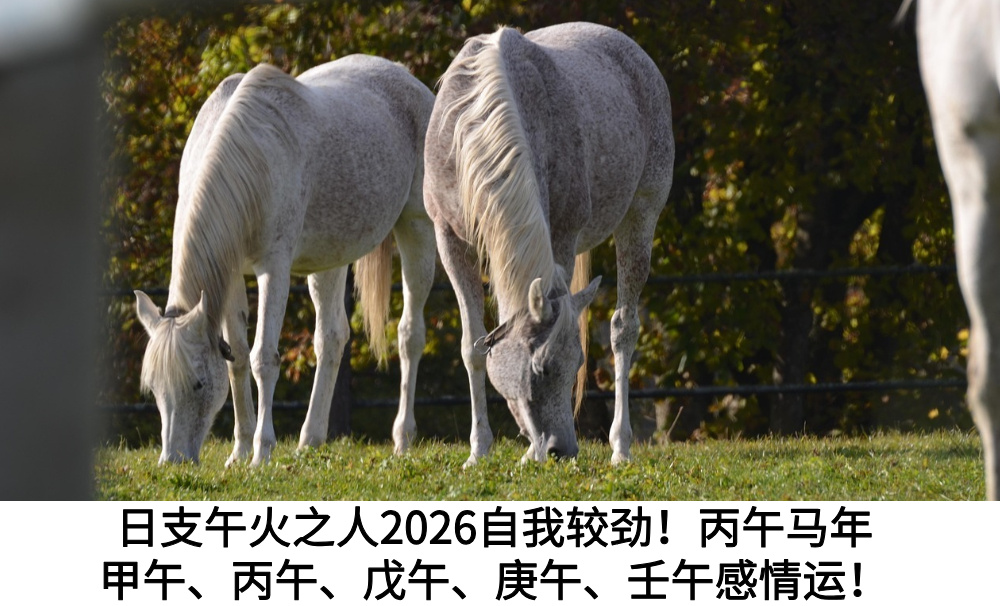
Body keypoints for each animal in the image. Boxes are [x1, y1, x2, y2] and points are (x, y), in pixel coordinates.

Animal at [134, 55, 437, 465]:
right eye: (154, 388)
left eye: (197, 384)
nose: (173, 461)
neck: (250, 160)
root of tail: (408, 80)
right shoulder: (231, 276)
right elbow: (238, 360)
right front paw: (240, 450)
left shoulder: (273, 270)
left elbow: (263, 357)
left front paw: (261, 452)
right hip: (330, 259)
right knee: (332, 337)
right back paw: (310, 439)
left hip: (416, 228)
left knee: (409, 335)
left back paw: (402, 438)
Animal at [424, 22, 674, 465]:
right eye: (538, 368)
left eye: (576, 364)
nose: (561, 449)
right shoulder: (448, 238)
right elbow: (473, 347)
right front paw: (478, 450)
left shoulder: (561, 235)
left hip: (641, 216)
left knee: (623, 329)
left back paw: (621, 447)